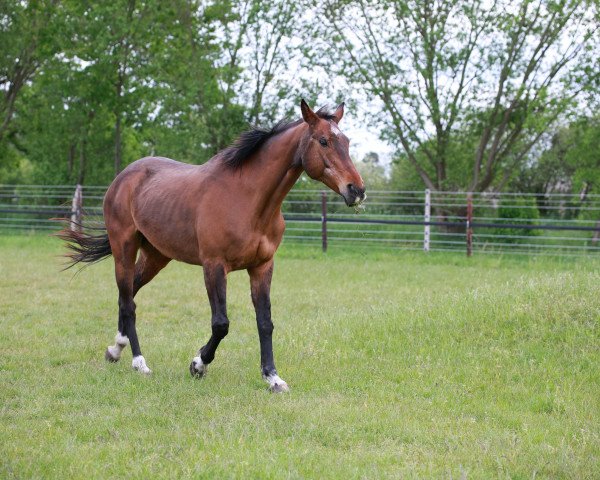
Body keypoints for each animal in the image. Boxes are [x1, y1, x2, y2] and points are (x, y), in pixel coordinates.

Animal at [59, 99, 366, 392]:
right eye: (324, 141)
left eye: (347, 142)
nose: (357, 190)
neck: (248, 200)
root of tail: (123, 177)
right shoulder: (214, 266)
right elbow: (221, 324)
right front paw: (198, 364)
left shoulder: (262, 267)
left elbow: (265, 322)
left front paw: (273, 378)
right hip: (124, 246)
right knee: (127, 300)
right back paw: (138, 361)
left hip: (156, 256)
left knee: (129, 294)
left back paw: (116, 350)